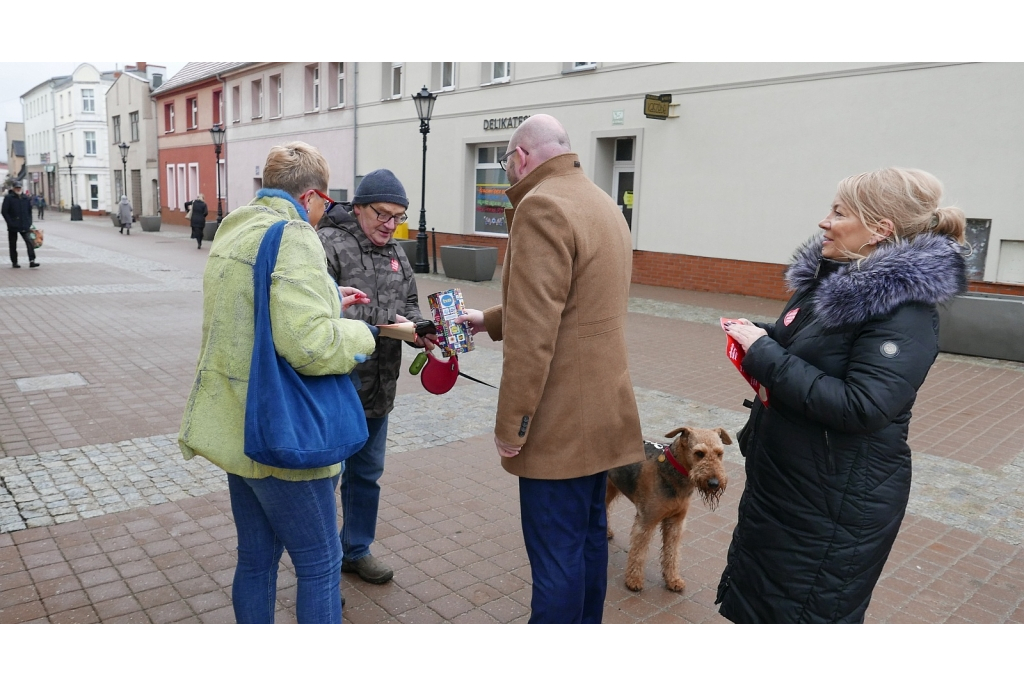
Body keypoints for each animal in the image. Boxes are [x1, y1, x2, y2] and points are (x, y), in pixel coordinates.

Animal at [602, 423, 733, 589]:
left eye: (719, 453)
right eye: (699, 453)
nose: (714, 483)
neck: (675, 471)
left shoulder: (676, 521)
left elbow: (672, 553)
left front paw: (673, 579)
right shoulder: (646, 521)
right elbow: (638, 552)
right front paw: (634, 580)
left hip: (610, 488)